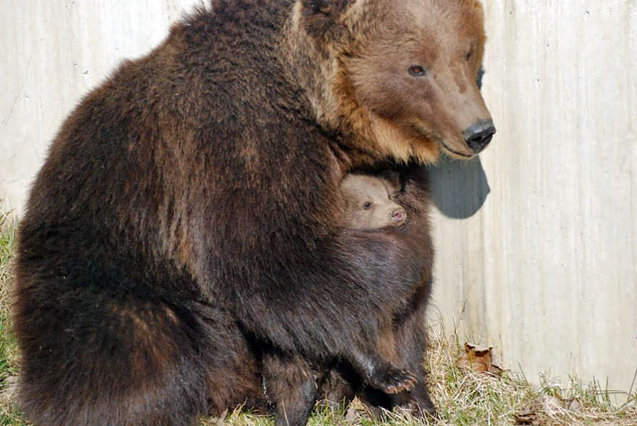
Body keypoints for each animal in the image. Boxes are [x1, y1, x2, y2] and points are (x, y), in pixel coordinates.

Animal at [13, 1, 492, 424]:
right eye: (416, 67)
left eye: (467, 52)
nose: (479, 131)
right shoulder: (241, 143)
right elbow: (270, 264)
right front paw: (381, 366)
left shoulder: (396, 173)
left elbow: (405, 309)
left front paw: (413, 397)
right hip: (105, 269)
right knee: (134, 356)